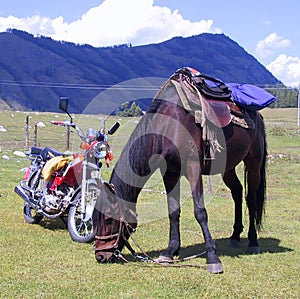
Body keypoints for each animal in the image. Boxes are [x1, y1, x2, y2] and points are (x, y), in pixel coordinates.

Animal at [92, 68, 268, 274]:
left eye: (108, 219)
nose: (101, 256)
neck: (169, 127)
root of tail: (257, 116)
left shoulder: (193, 168)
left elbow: (200, 211)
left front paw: (212, 257)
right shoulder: (169, 173)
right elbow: (173, 211)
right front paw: (170, 251)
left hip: (254, 162)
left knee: (251, 198)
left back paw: (253, 242)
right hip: (228, 167)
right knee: (237, 192)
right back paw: (234, 236)